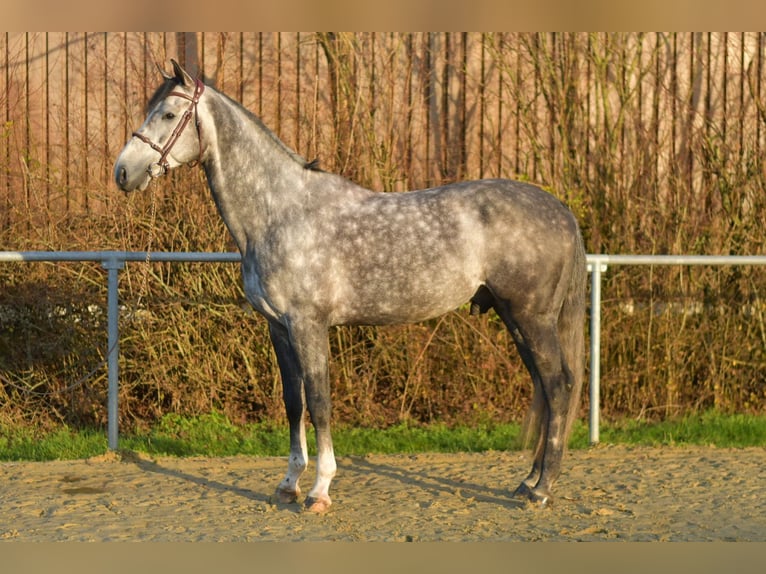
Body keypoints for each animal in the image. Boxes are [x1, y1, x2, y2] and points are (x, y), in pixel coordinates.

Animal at [114, 60, 587, 513]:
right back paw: (527, 482)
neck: (280, 212)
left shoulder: (309, 325)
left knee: (559, 386)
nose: (122, 172)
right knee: (545, 388)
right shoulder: (278, 328)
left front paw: (319, 490)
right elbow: (293, 402)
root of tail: (560, 209)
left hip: (532, 318)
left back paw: (542, 489)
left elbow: (320, 401)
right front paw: (288, 485)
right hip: (516, 319)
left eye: (168, 113)